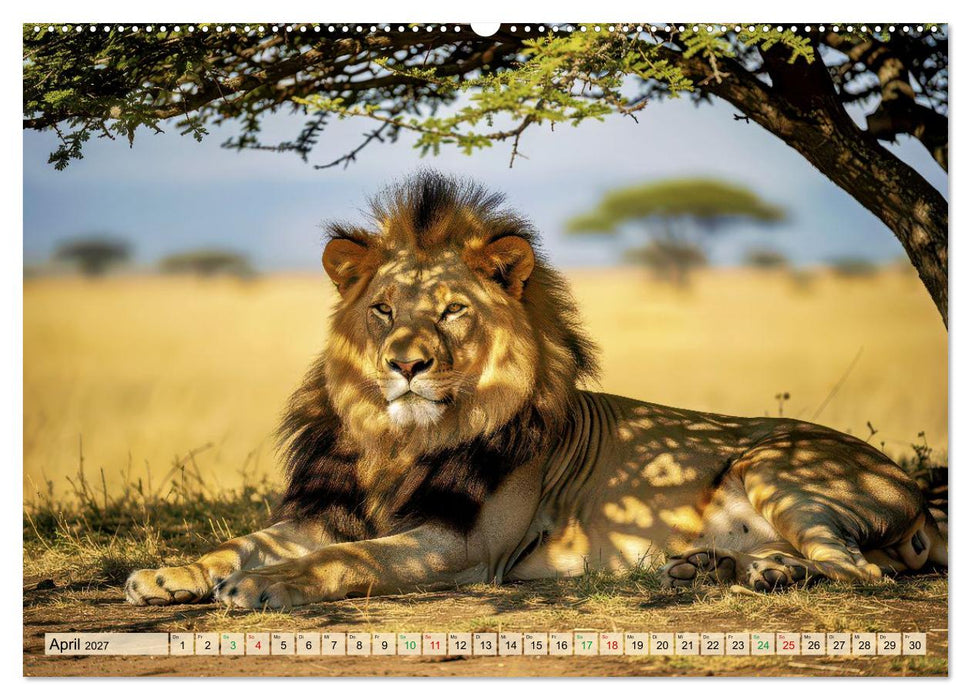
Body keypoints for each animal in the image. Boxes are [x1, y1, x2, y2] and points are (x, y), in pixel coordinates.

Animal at [125, 172, 947, 608]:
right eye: (383, 308)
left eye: (452, 311)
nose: (404, 364)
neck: (400, 438)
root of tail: (911, 488)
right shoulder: (325, 512)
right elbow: (240, 542)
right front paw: (170, 573)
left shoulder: (462, 547)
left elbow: (349, 561)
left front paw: (264, 586)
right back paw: (719, 567)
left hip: (774, 465)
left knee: (863, 570)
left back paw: (770, 572)